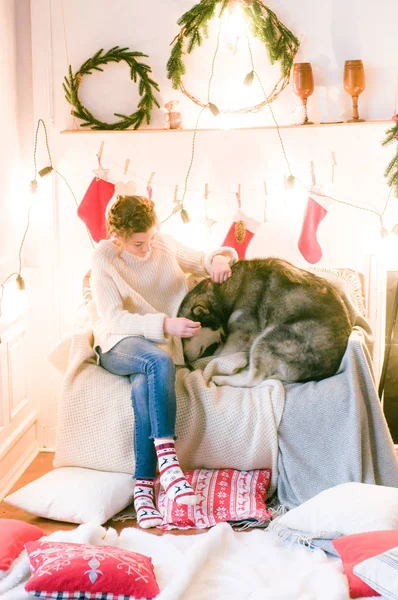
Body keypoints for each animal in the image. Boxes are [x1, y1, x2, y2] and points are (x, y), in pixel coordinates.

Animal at [177, 258, 352, 390]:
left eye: (188, 335)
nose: (184, 359)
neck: (225, 294)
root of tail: (328, 368)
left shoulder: (242, 334)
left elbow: (218, 357)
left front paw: (207, 363)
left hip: (268, 337)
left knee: (253, 380)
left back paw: (222, 379)